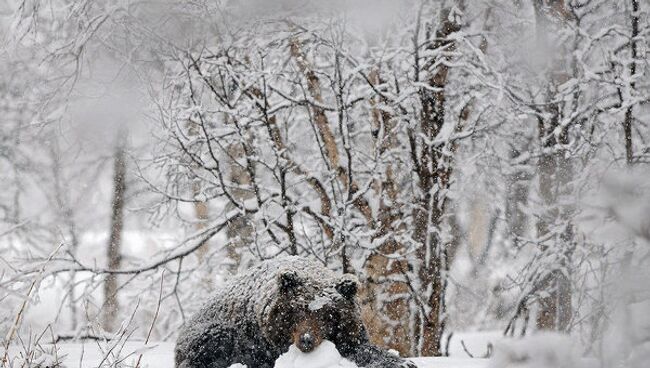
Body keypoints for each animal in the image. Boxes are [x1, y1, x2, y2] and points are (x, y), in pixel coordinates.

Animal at [173, 256, 416, 368]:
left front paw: (401, 361)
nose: (306, 340)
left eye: (327, 315)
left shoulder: (349, 334)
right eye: (297, 312)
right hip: (210, 332)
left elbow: (360, 348)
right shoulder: (262, 341)